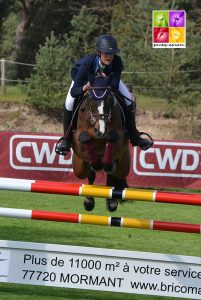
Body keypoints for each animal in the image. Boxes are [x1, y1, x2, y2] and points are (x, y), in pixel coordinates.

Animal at [70, 75, 130, 212]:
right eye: (91, 99)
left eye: (109, 99)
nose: (101, 130)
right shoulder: (79, 136)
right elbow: (84, 137)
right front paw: (97, 164)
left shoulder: (119, 136)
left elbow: (112, 137)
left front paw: (106, 164)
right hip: (79, 168)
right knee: (90, 175)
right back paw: (89, 201)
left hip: (123, 166)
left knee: (113, 175)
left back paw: (111, 201)